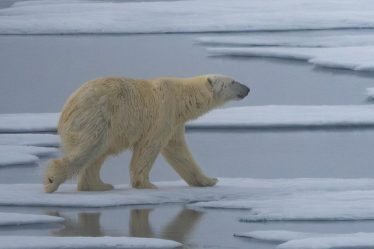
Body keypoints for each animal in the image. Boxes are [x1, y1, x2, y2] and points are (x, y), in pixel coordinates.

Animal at [43, 75, 248, 194]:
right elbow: (149, 147)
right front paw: (146, 184)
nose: (247, 88)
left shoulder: (174, 121)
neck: (181, 96)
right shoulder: (163, 113)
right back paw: (52, 181)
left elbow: (179, 152)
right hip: (98, 116)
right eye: (233, 81)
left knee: (97, 154)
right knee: (88, 148)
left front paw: (209, 180)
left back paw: (99, 185)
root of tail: (67, 108)